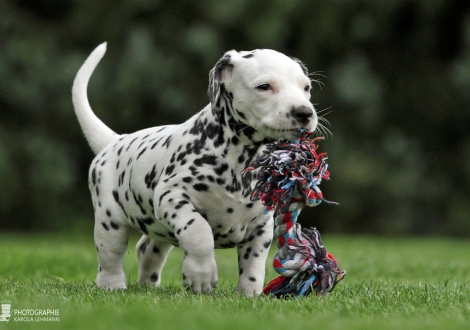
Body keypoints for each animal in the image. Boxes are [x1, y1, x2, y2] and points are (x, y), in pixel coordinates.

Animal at [71, 42, 318, 296]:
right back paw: (112, 286)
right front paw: (201, 274)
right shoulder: (172, 197)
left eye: (306, 87)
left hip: (159, 230)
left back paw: (148, 286)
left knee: (147, 248)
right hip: (110, 221)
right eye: (264, 86)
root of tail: (115, 140)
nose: (304, 113)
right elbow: (199, 231)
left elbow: (254, 265)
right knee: (110, 257)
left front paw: (249, 295)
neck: (240, 158)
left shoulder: (260, 226)